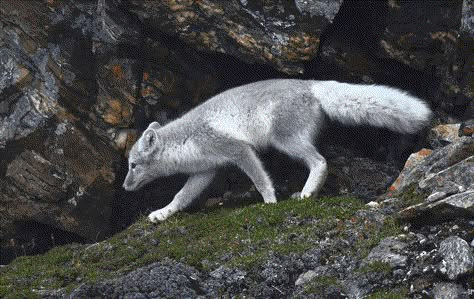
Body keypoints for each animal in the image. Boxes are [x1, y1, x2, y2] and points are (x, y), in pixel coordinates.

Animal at [121, 79, 430, 223]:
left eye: (133, 165)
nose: (124, 187)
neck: (186, 140)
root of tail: (311, 84)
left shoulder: (239, 150)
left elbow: (261, 180)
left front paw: (270, 203)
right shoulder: (206, 171)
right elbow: (181, 196)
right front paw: (163, 213)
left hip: (284, 140)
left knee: (320, 161)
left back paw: (306, 193)